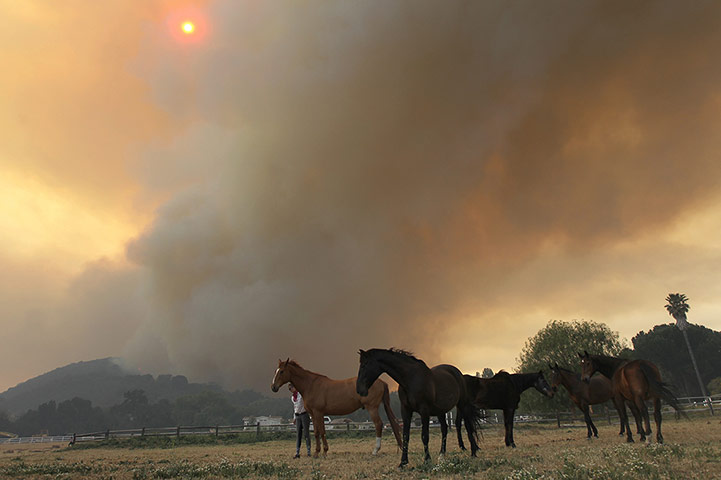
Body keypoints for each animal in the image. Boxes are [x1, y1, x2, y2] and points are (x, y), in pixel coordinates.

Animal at [272, 360, 402, 458]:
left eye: (282, 371)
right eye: (276, 371)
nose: (273, 387)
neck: (311, 385)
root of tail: (381, 381)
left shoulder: (318, 413)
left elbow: (321, 432)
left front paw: (322, 452)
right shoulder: (314, 414)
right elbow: (317, 432)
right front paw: (318, 452)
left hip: (372, 408)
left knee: (378, 424)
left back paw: (375, 450)